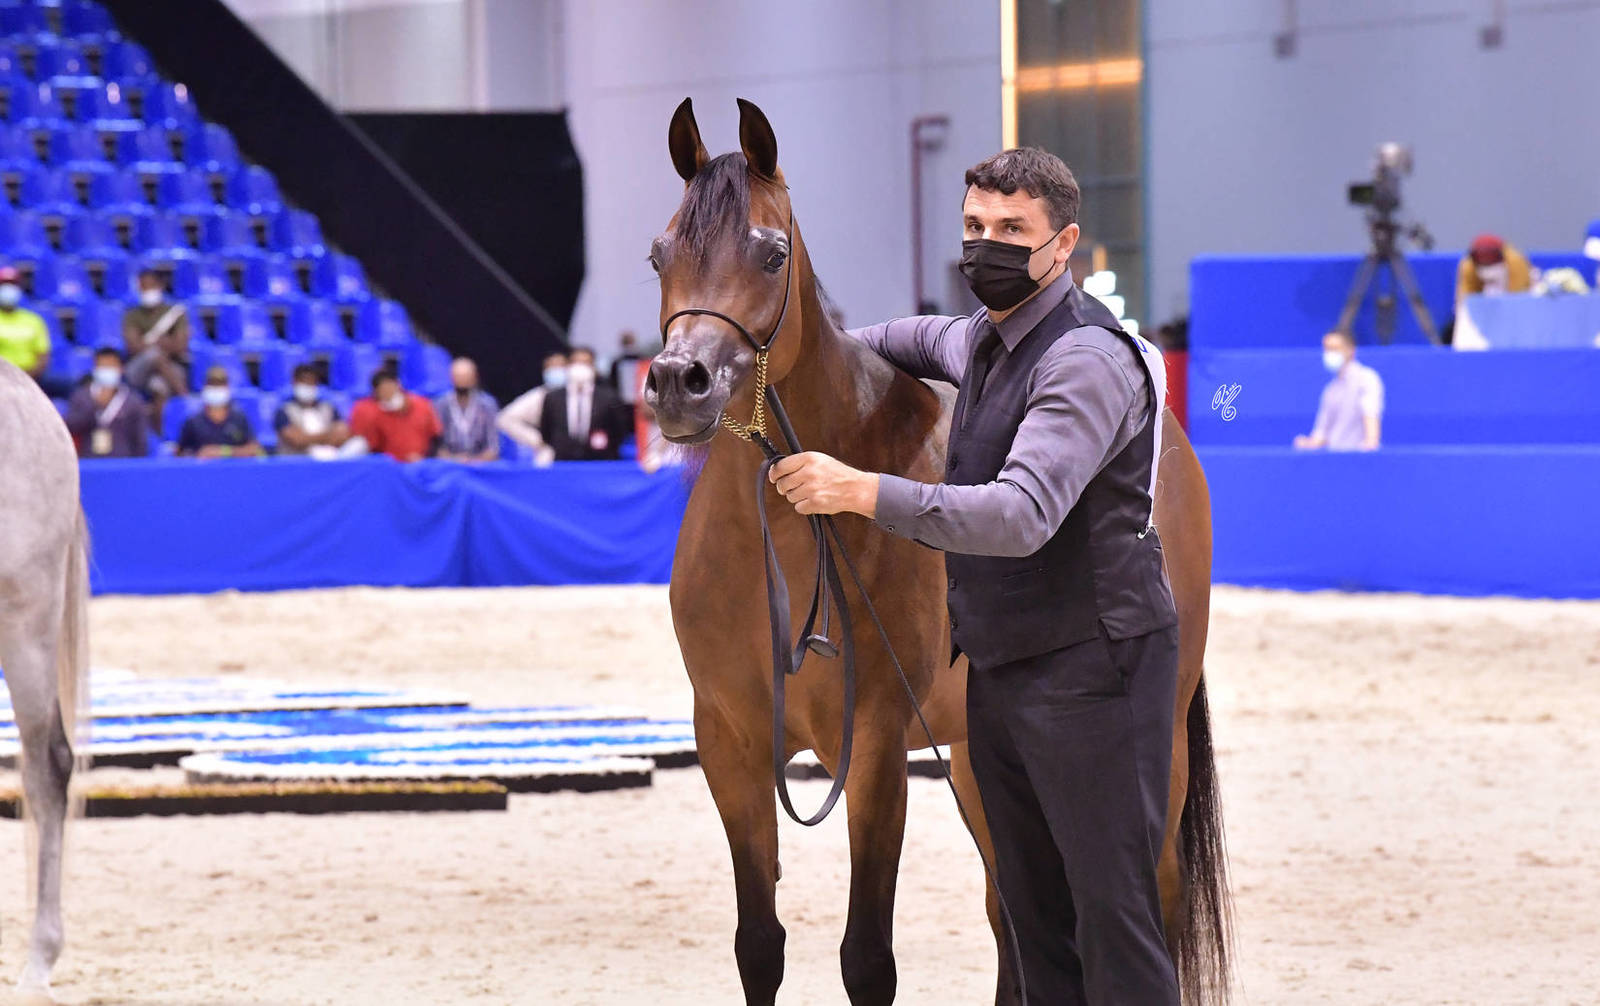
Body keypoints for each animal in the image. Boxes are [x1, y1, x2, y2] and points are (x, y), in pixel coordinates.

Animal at [645, 97, 1231, 1005]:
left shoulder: (879, 746)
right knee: (1015, 914)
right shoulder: (730, 744)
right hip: (979, 761)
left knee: (1147, 903)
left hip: (1149, 750)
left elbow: (866, 957)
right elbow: (759, 946)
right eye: (659, 254)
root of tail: (1165, 427)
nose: (680, 382)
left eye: (772, 253)